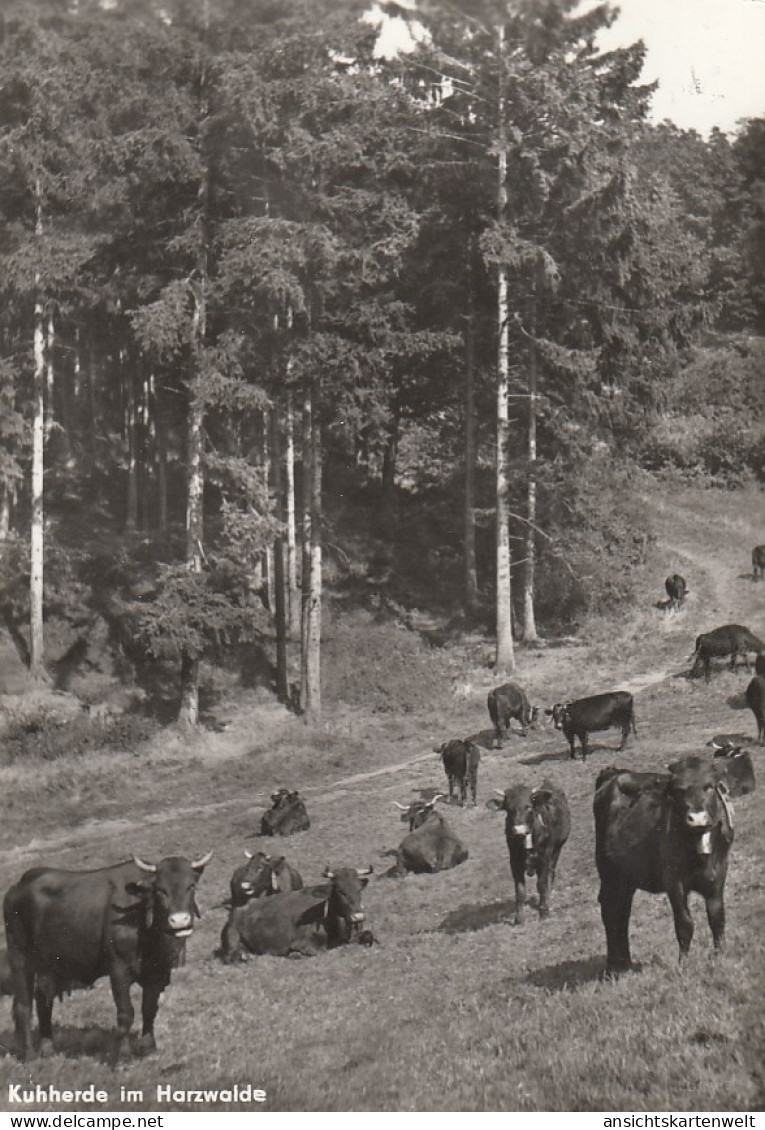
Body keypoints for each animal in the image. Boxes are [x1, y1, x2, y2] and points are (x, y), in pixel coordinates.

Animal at [3, 849, 211, 1062]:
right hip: (20, 956)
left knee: (44, 998)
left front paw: (148, 1047)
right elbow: (126, 1012)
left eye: (191, 885)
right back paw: (30, 1054)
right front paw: (123, 1055)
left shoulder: (158, 972)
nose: (180, 920)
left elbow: (149, 1008)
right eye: (160, 889)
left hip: (51, 963)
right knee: (23, 1005)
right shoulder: (118, 969)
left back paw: (47, 1048)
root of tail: (20, 885)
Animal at [218, 863, 372, 962]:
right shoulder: (302, 943)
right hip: (232, 936)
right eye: (340, 890)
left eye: (359, 889)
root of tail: (236, 911)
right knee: (231, 956)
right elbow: (319, 951)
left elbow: (368, 935)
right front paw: (294, 953)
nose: (358, 916)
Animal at [490, 781, 567, 922]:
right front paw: (519, 918)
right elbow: (520, 890)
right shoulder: (514, 861)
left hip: (557, 850)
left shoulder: (545, 857)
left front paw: (544, 911)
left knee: (551, 874)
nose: (519, 830)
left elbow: (542, 884)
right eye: (509, 809)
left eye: (529, 807)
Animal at [592, 754, 732, 976]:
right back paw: (614, 966)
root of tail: (614, 774)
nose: (697, 818)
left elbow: (717, 918)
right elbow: (684, 923)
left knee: (622, 911)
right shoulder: (674, 883)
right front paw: (683, 964)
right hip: (609, 874)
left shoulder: (717, 877)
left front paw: (721, 956)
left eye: (709, 786)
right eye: (678, 790)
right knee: (611, 910)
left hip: (626, 878)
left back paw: (625, 963)